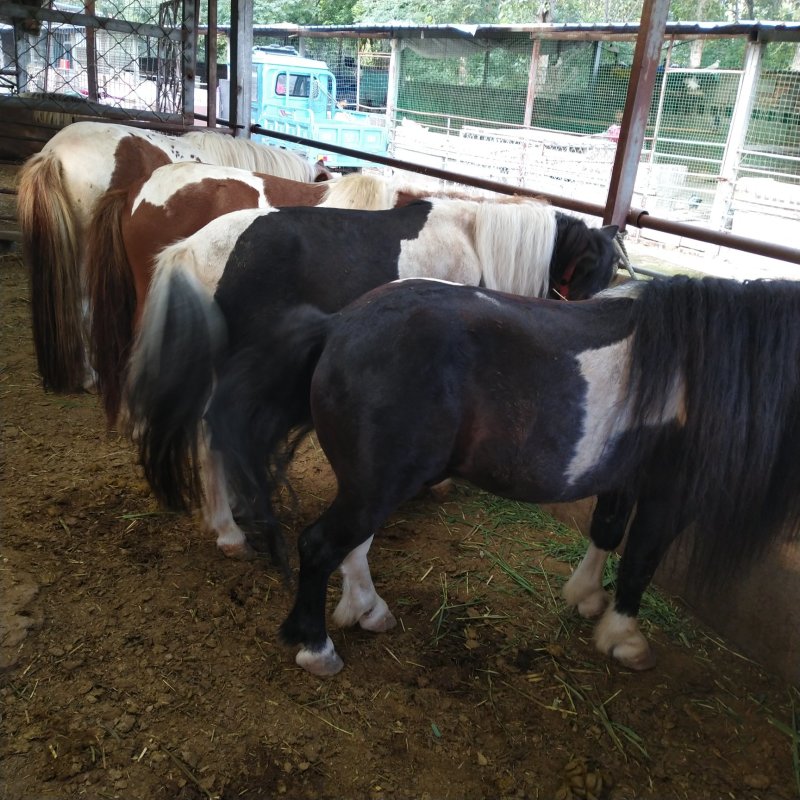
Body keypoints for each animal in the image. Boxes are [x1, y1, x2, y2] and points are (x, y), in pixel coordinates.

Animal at [124, 200, 620, 566]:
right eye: (588, 272)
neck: (472, 241)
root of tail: (191, 249)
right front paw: (436, 483)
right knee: (214, 431)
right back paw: (229, 531)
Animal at [196, 276, 800, 676]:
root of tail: (339, 325)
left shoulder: (624, 477)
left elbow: (606, 531)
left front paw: (585, 597)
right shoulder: (670, 494)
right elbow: (641, 561)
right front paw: (624, 637)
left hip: (373, 482)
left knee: (352, 547)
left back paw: (367, 611)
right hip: (378, 484)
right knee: (322, 545)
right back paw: (318, 647)